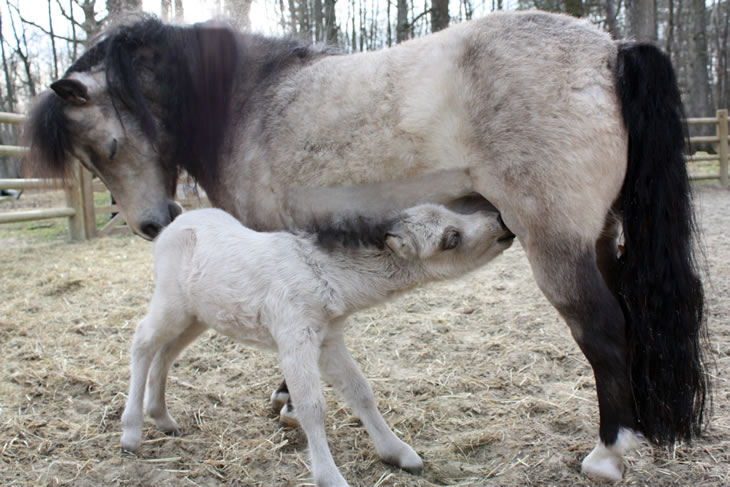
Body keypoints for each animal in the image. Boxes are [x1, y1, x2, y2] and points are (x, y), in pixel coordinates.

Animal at [119, 204, 512, 486]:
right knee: (143, 342)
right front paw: (330, 477)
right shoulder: (295, 338)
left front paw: (398, 453)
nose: (500, 221)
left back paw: (162, 416)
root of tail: (176, 221)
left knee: (166, 352)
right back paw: (132, 432)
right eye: (451, 238)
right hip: (171, 304)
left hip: (198, 316)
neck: (319, 271)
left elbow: (360, 390)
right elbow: (311, 406)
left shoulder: (328, 340)